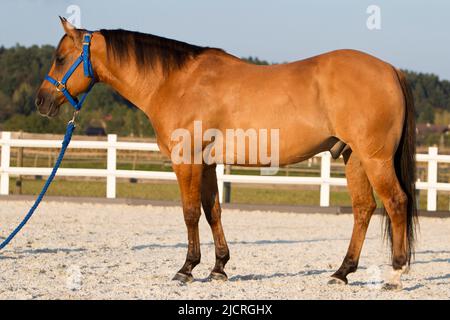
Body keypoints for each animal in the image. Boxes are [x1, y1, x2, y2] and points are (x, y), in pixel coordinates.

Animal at [36, 18, 418, 292]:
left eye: (60, 58)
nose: (41, 101)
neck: (175, 82)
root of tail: (390, 70)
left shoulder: (186, 160)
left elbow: (190, 213)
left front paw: (186, 268)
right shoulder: (207, 163)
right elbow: (213, 211)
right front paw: (219, 267)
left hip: (375, 158)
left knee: (395, 203)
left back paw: (395, 274)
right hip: (353, 157)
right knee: (364, 209)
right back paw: (342, 272)